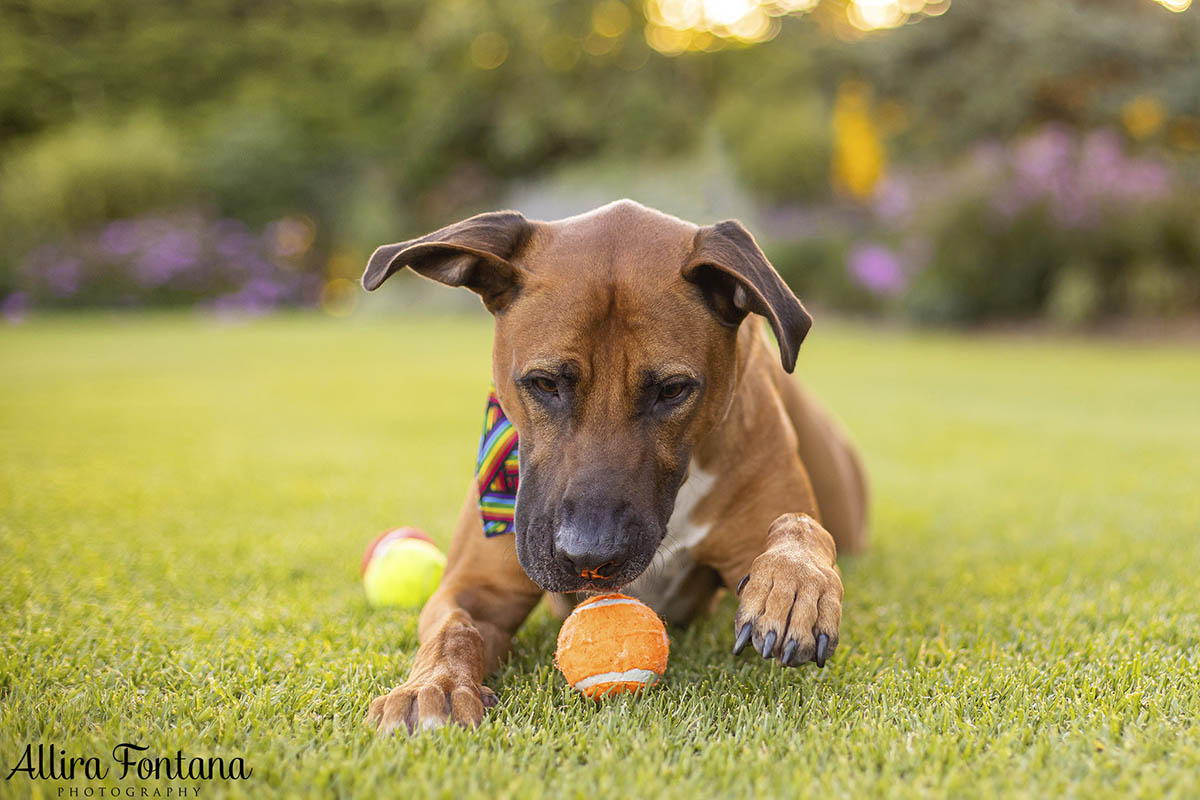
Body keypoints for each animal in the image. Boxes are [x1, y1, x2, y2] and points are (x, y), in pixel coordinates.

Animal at [355, 199, 864, 734]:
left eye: (672, 390)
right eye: (544, 383)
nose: (588, 558)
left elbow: (800, 525)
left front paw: (794, 580)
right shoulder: (476, 587)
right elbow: (452, 628)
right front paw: (432, 687)